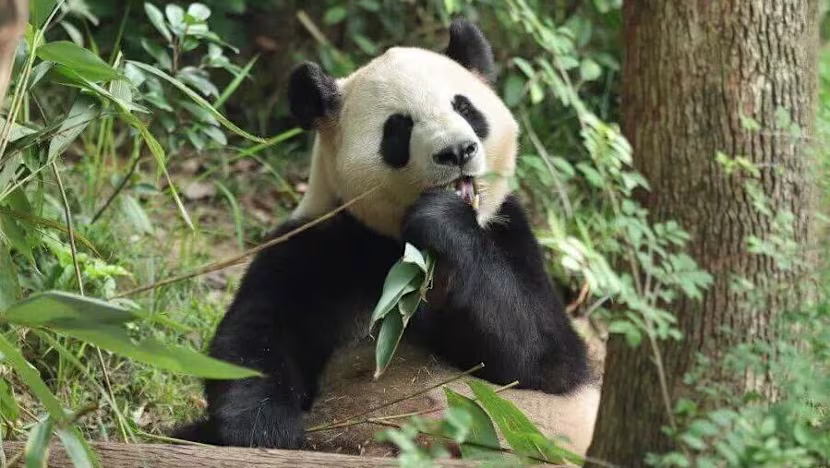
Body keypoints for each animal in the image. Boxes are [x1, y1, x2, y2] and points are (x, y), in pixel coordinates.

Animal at [173, 18, 601, 458]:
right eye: (399, 127)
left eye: (465, 108)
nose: (457, 151)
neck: (396, 244)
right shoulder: (317, 242)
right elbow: (255, 338)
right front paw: (264, 432)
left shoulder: (507, 230)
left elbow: (544, 358)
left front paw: (443, 220)